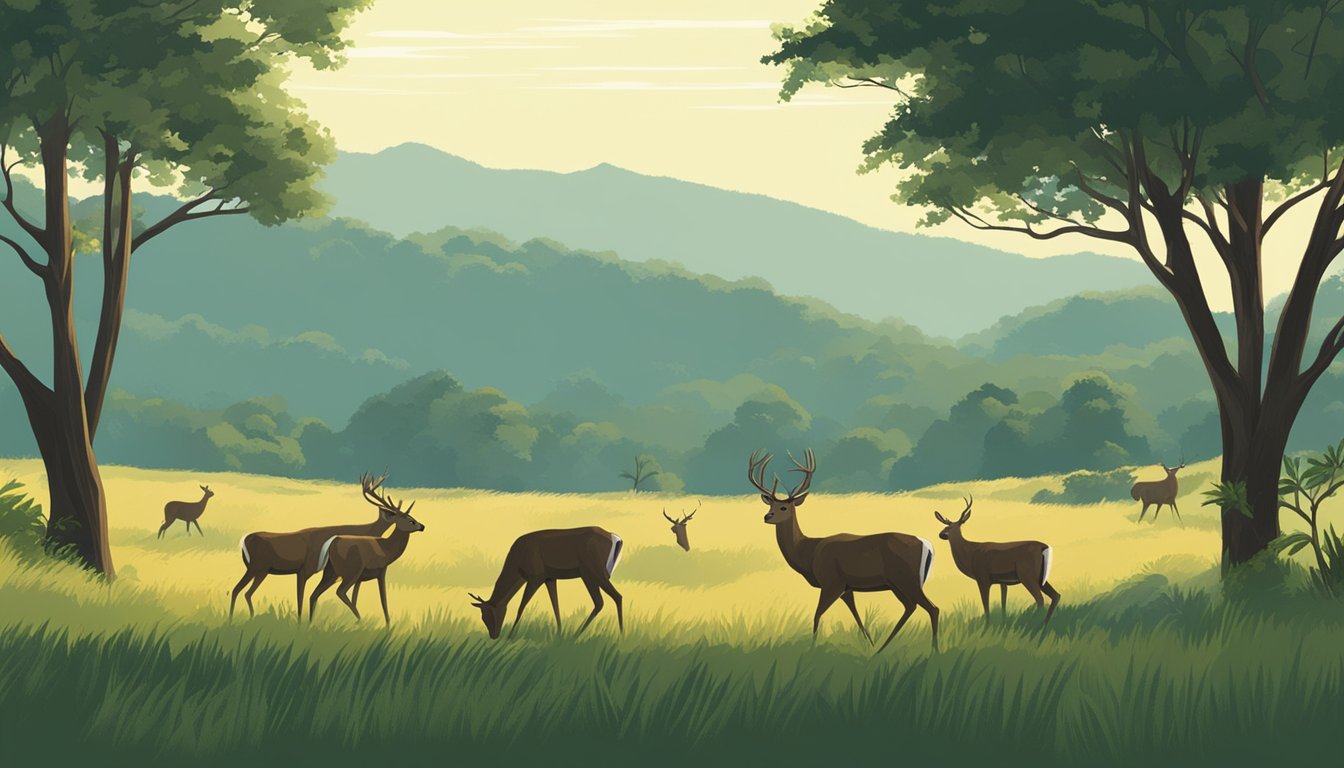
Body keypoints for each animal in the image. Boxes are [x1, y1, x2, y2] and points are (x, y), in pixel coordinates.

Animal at [228, 470, 397, 621]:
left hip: (260, 570)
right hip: (257, 567)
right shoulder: (304, 569)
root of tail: (244, 541)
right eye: (392, 513)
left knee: (244, 592)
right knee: (238, 590)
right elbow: (301, 599)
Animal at [309, 492, 424, 624]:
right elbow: (383, 599)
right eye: (411, 521)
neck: (386, 550)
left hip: (331, 572)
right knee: (340, 591)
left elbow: (355, 598)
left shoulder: (361, 578)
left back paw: (309, 623)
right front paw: (388, 624)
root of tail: (332, 541)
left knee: (314, 594)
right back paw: (360, 619)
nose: (422, 526)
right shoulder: (381, 571)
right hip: (352, 570)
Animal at [470, 527, 626, 640]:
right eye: (483, 616)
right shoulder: (549, 578)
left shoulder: (535, 577)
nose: (493, 635)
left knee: (610, 598)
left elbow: (521, 606)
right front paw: (559, 633)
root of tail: (616, 538)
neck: (518, 565)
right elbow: (555, 605)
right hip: (592, 574)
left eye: (487, 614)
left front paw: (511, 635)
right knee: (607, 599)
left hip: (592, 572)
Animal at [752, 451, 940, 656]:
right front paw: (869, 643)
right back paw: (881, 649)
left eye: (784, 507)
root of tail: (927, 545)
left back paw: (934, 650)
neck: (808, 554)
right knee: (910, 606)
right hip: (897, 583)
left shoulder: (831, 582)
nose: (767, 516)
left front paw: (811, 649)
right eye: (770, 506)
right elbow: (856, 616)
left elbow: (817, 614)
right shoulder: (846, 588)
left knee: (932, 608)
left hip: (907, 578)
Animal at [935, 494, 1059, 626]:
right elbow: (1003, 603)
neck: (970, 554)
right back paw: (1044, 625)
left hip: (1027, 573)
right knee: (1056, 595)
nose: (941, 534)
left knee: (1040, 599)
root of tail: (1044, 547)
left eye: (950, 527)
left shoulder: (982, 577)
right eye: (945, 526)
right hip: (1040, 576)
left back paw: (1033, 624)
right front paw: (1003, 624)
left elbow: (986, 605)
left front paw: (986, 627)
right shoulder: (1002, 581)